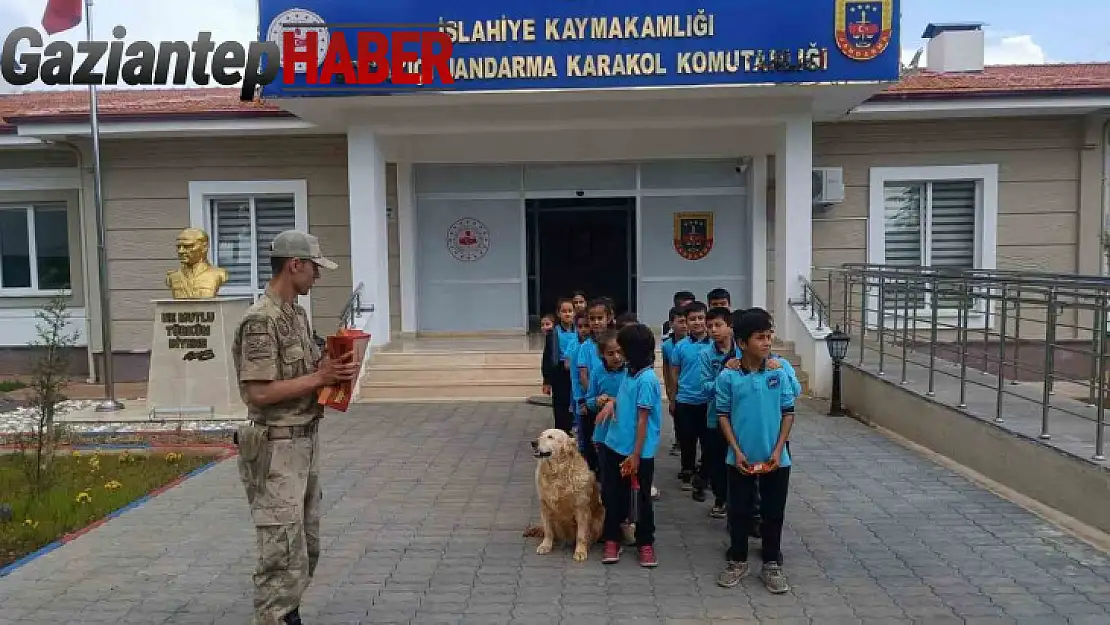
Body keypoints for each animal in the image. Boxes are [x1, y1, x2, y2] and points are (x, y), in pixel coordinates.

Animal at [530, 430, 603, 561]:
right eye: (540, 435)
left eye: (550, 437)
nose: (533, 442)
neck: (557, 473)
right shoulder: (544, 505)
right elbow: (548, 530)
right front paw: (545, 546)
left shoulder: (581, 508)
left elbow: (581, 534)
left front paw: (580, 551)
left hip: (601, 514)